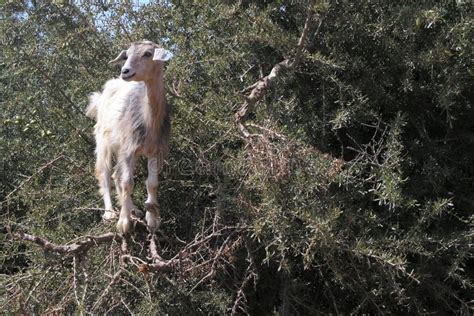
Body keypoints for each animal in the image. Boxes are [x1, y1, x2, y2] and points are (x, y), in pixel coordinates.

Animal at [86, 40, 172, 235]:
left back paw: (134, 210)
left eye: (148, 53)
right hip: (104, 140)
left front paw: (152, 220)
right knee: (105, 173)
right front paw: (123, 224)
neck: (148, 119)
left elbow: (152, 183)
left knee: (116, 175)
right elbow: (128, 183)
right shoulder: (129, 149)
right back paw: (110, 213)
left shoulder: (154, 150)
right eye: (127, 55)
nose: (125, 71)